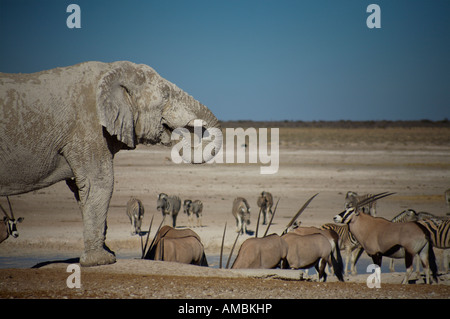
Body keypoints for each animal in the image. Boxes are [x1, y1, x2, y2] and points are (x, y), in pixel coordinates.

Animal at [0, 60, 221, 268]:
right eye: (166, 95)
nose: (182, 135)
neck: (110, 70)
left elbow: (81, 188)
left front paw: (107, 254)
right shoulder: (88, 128)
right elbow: (100, 183)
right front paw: (101, 260)